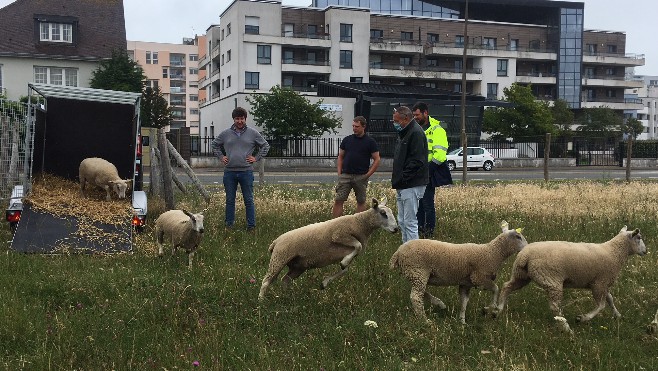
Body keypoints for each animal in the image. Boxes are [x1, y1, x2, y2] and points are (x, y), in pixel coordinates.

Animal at [258, 198, 398, 302]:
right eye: (383, 213)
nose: (396, 229)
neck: (361, 223)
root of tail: (275, 242)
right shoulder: (339, 236)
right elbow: (357, 245)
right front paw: (343, 264)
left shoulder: (347, 251)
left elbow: (345, 269)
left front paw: (325, 282)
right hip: (279, 258)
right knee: (266, 281)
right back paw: (261, 302)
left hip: (298, 266)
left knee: (285, 280)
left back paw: (287, 297)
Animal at [386, 222, 524, 324]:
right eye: (518, 237)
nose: (526, 248)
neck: (493, 252)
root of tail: (398, 252)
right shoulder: (479, 278)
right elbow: (495, 289)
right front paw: (491, 308)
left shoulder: (466, 283)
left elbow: (464, 302)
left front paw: (462, 322)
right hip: (418, 271)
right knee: (415, 297)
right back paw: (425, 320)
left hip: (415, 274)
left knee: (420, 292)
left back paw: (439, 303)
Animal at [492, 225, 644, 324]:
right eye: (639, 237)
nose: (645, 251)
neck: (614, 252)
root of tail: (525, 254)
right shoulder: (600, 283)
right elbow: (601, 305)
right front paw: (583, 318)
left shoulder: (602, 283)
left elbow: (610, 300)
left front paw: (617, 315)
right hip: (551, 279)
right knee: (554, 306)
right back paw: (566, 327)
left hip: (521, 275)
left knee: (507, 286)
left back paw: (498, 310)